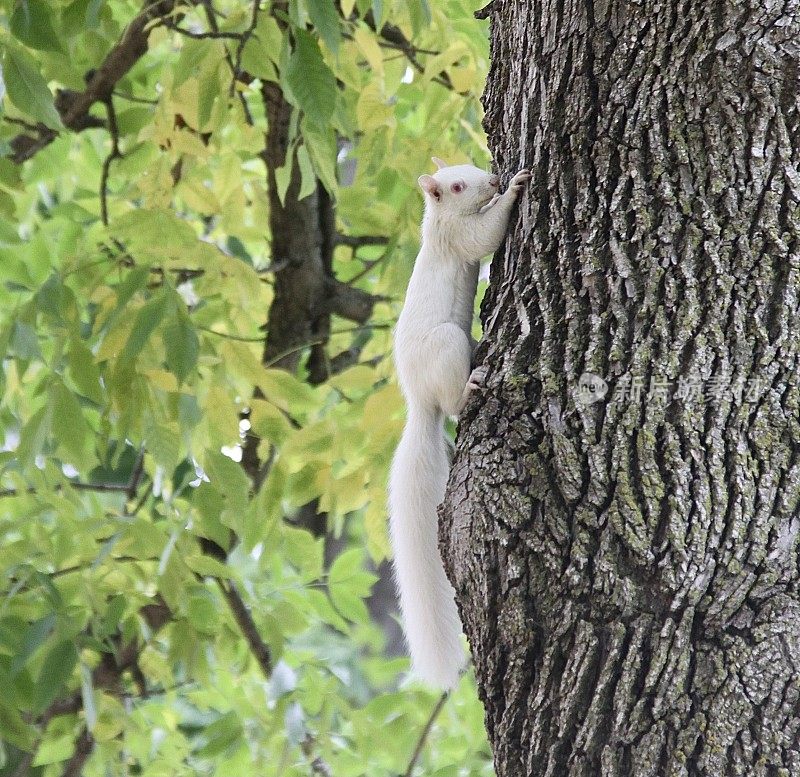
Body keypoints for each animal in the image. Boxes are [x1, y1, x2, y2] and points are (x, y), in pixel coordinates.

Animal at [390, 156, 532, 684]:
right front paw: (513, 192)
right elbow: (485, 236)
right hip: (447, 345)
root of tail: (418, 398)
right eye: (454, 186)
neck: (434, 221)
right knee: (453, 403)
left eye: (471, 168)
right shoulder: (457, 236)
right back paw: (469, 389)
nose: (492, 179)